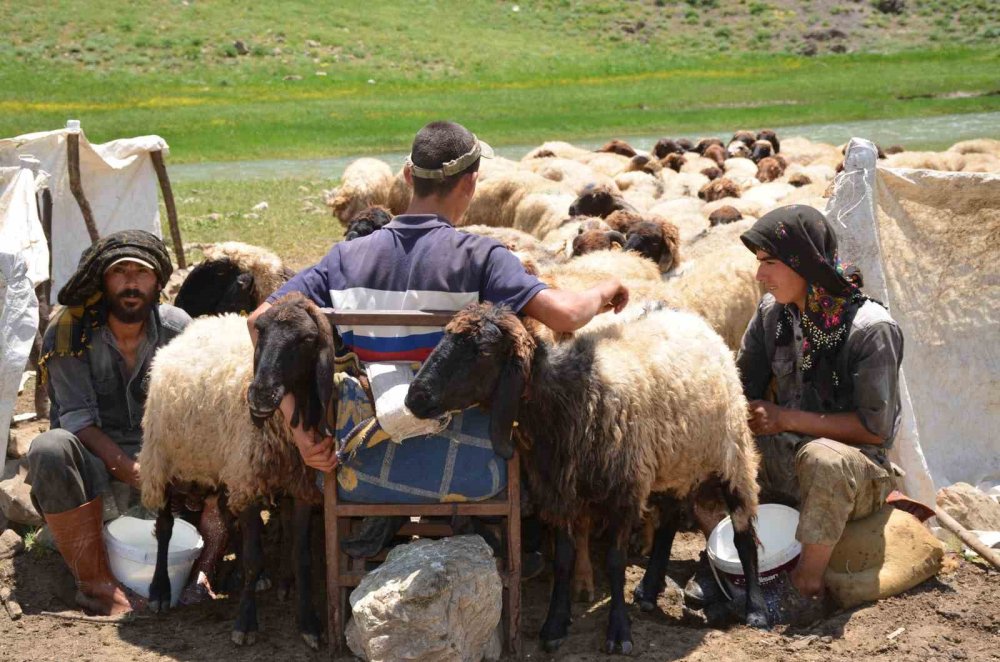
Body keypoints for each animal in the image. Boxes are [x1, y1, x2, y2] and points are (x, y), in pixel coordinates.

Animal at [404, 304, 764, 656]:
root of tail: (690, 318)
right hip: (676, 457)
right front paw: (554, 625)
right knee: (669, 521)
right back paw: (649, 589)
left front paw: (619, 632)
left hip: (732, 452)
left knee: (742, 531)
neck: (571, 396)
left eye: (481, 351)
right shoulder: (559, 493)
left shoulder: (623, 493)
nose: (414, 398)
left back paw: (755, 608)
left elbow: (616, 562)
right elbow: (564, 558)